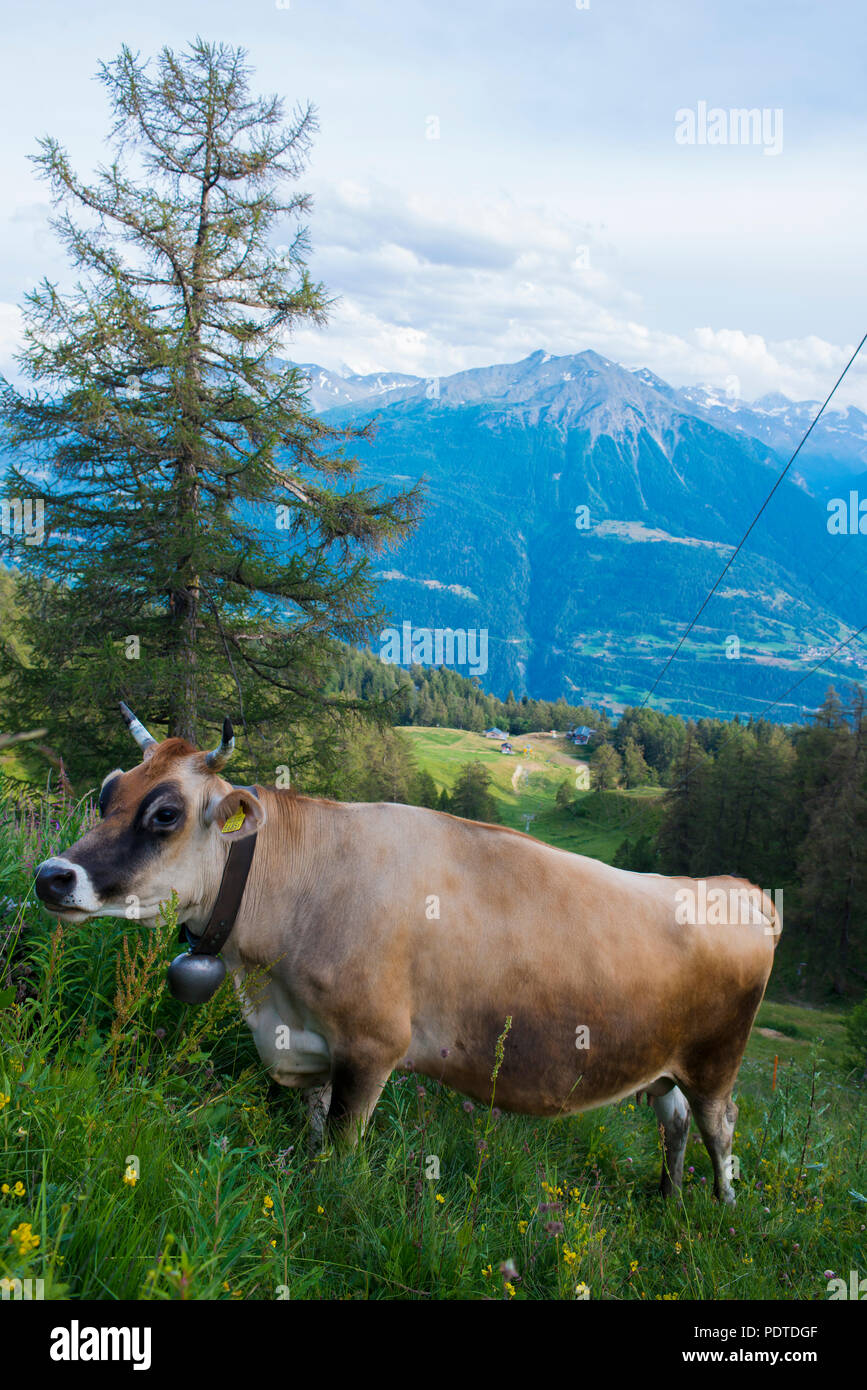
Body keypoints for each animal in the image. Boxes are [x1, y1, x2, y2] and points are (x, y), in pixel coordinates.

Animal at [34, 708, 781, 1203]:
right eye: (109, 794)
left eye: (166, 814)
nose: (51, 876)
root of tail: (737, 888)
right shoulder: (310, 1043)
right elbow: (314, 1126)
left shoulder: (372, 1046)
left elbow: (341, 1148)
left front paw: (329, 1202)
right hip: (663, 1063)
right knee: (674, 1121)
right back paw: (669, 1196)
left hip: (717, 1060)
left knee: (721, 1126)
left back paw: (719, 1210)